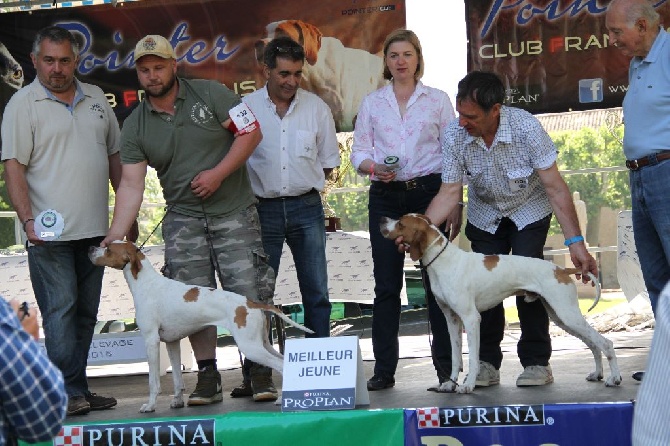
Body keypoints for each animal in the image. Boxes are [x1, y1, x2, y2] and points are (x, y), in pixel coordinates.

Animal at [87, 242, 316, 412]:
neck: (147, 283)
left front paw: (150, 405)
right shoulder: (171, 343)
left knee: (280, 365)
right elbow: (177, 379)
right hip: (262, 344)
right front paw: (177, 401)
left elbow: (153, 382)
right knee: (283, 361)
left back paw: (281, 400)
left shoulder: (151, 341)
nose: (90, 248)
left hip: (250, 347)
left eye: (108, 249)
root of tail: (251, 303)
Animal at [384, 214, 624, 392]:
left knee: (605, 343)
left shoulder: (471, 319)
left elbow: (472, 358)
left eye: (401, 223)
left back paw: (614, 378)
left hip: (568, 315)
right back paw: (598, 373)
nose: (381, 220)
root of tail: (561, 269)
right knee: (593, 344)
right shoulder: (452, 320)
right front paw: (449, 384)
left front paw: (468, 385)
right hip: (561, 317)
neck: (444, 262)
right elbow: (455, 358)